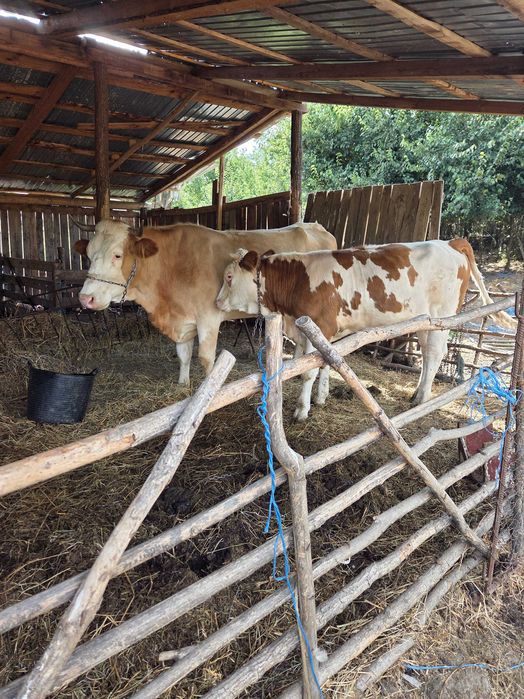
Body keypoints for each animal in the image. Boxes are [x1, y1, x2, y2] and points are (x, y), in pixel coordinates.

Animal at [73, 219, 336, 384]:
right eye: (88, 255)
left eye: (117, 255)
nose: (86, 298)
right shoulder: (183, 321)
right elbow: (183, 355)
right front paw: (183, 386)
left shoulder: (208, 319)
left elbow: (207, 359)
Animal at [216, 239, 515, 421]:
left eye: (229, 277)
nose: (217, 302)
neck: (298, 281)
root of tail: (450, 243)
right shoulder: (318, 332)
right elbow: (324, 363)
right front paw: (321, 397)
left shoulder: (318, 325)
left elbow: (308, 372)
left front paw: (302, 410)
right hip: (425, 321)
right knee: (428, 353)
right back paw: (417, 393)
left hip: (444, 317)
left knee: (435, 354)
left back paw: (423, 399)